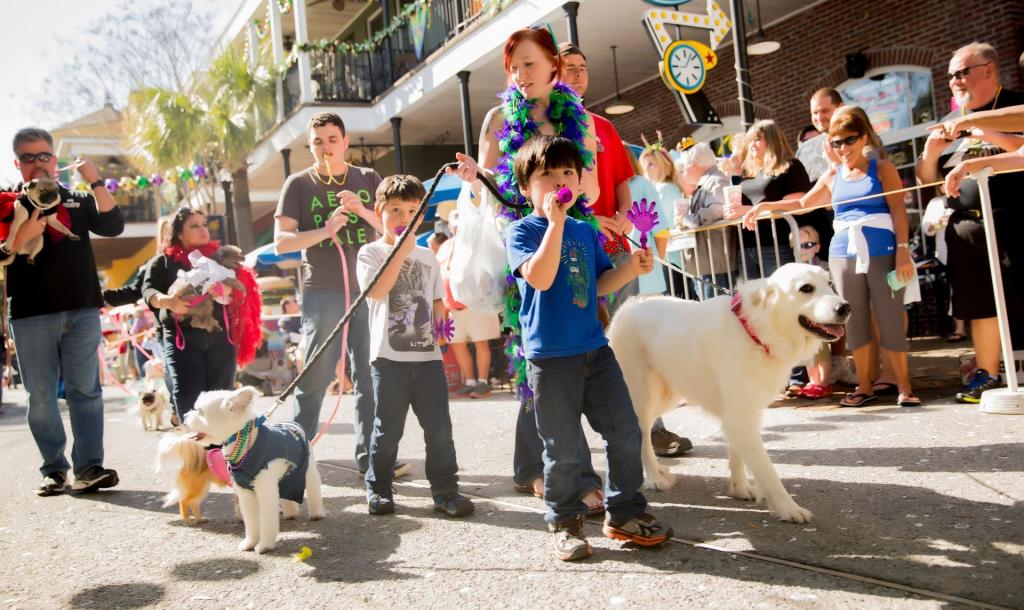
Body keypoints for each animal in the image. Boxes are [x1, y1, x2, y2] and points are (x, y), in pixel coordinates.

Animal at [606, 264, 847, 524]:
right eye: (806, 289)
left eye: (829, 283)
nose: (845, 308)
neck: (755, 329)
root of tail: (627, 307)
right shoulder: (740, 418)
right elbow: (768, 471)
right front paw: (789, 508)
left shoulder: (740, 415)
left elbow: (738, 457)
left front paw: (740, 489)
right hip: (641, 396)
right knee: (640, 433)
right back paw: (655, 478)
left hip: (667, 395)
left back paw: (659, 469)